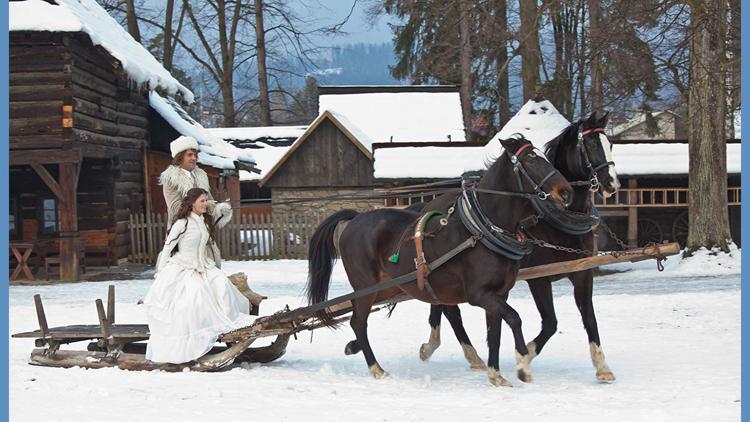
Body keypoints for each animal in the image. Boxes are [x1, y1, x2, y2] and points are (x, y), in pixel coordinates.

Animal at [306, 136, 576, 386]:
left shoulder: (498, 294)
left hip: (389, 287)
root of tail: (355, 218)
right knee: (358, 322)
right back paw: (376, 369)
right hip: (366, 287)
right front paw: (522, 365)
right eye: (531, 159)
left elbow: (495, 332)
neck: (482, 231)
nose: (566, 192)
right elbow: (514, 318)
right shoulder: (480, 295)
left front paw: (496, 374)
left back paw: (357, 348)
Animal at [424, 111, 624, 382]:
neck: (556, 219)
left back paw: (438, 347)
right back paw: (462, 353)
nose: (613, 184)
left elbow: (590, 317)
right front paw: (524, 357)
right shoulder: (539, 279)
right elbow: (550, 322)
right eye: (591, 145)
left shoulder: (582, 272)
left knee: (442, 305)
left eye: (610, 144)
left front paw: (602, 367)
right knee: (450, 310)